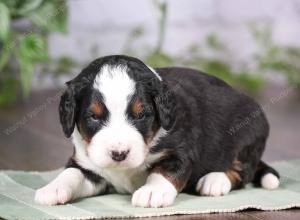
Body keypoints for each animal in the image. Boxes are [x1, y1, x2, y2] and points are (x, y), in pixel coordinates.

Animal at [34, 55, 280, 208]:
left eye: (141, 115)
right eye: (94, 116)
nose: (119, 154)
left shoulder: (180, 151)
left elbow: (163, 171)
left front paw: (152, 192)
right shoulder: (88, 165)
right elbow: (71, 173)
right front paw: (52, 189)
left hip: (248, 136)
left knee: (241, 172)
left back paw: (214, 180)